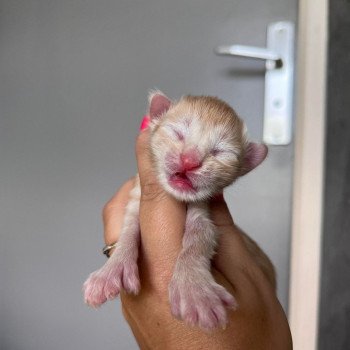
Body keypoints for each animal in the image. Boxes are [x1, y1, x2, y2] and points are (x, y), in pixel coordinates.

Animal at [83, 91, 270, 330]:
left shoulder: (204, 210)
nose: (189, 161)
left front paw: (195, 291)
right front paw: (112, 271)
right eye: (178, 133)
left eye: (220, 152)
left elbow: (200, 236)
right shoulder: (136, 196)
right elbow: (129, 229)